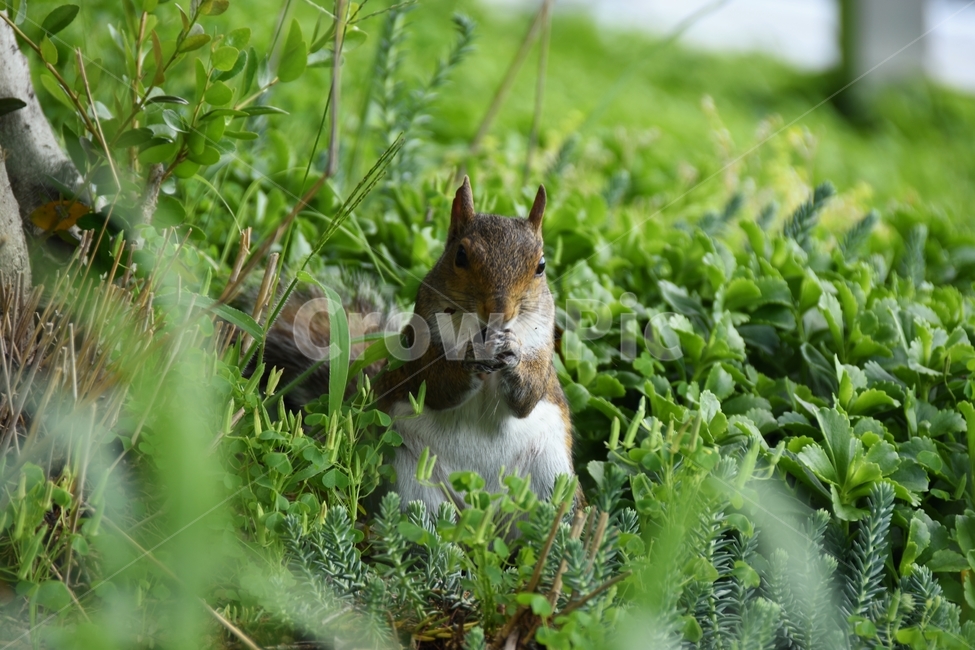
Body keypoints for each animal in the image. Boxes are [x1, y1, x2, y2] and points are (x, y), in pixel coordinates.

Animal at [263, 177, 575, 512]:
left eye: (541, 265)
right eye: (460, 256)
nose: (499, 312)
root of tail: (474, 507)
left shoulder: (542, 349)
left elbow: (528, 395)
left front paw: (513, 351)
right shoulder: (421, 348)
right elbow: (437, 386)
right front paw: (469, 356)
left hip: (551, 476)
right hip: (409, 480)